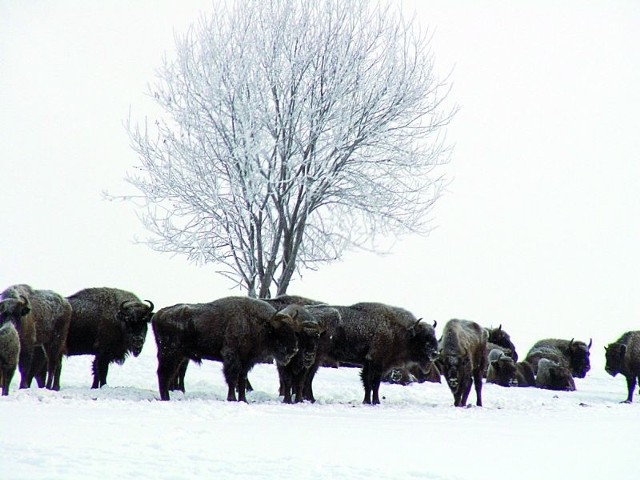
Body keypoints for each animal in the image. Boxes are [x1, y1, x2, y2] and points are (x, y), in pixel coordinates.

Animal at [152, 296, 300, 402]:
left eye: (293, 330)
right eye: (281, 332)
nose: (294, 350)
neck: (259, 324)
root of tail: (158, 314)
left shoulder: (245, 362)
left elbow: (242, 380)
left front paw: (243, 400)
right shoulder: (232, 358)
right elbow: (232, 379)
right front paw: (232, 399)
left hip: (178, 356)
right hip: (170, 354)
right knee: (163, 374)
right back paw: (166, 398)